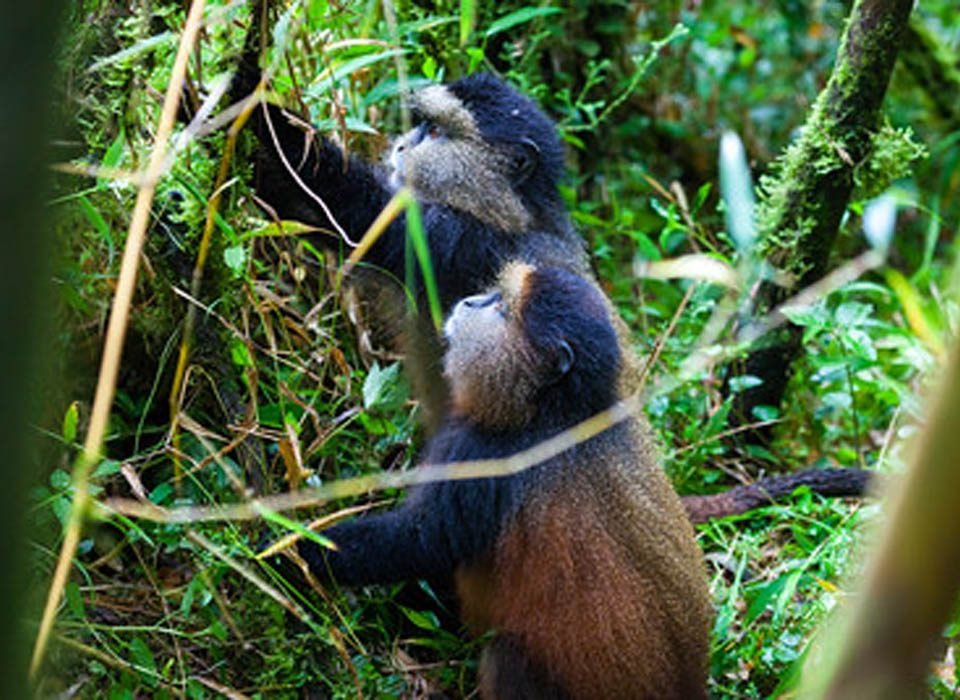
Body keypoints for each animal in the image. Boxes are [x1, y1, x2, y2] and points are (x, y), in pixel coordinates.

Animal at [291, 261, 712, 699]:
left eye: (503, 309)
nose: (470, 301)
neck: (555, 413)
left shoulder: (485, 456)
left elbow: (418, 540)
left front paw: (294, 549)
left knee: (503, 657)